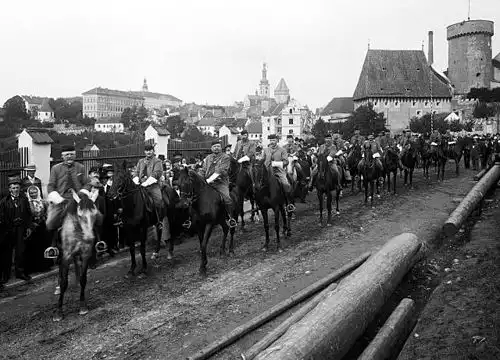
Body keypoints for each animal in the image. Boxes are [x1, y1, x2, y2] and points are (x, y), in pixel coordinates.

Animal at [53, 190, 101, 322]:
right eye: (80, 216)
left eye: (95, 215)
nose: (90, 238)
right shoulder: (66, 257)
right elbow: (64, 282)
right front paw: (58, 313)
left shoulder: (85, 255)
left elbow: (83, 279)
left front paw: (83, 306)